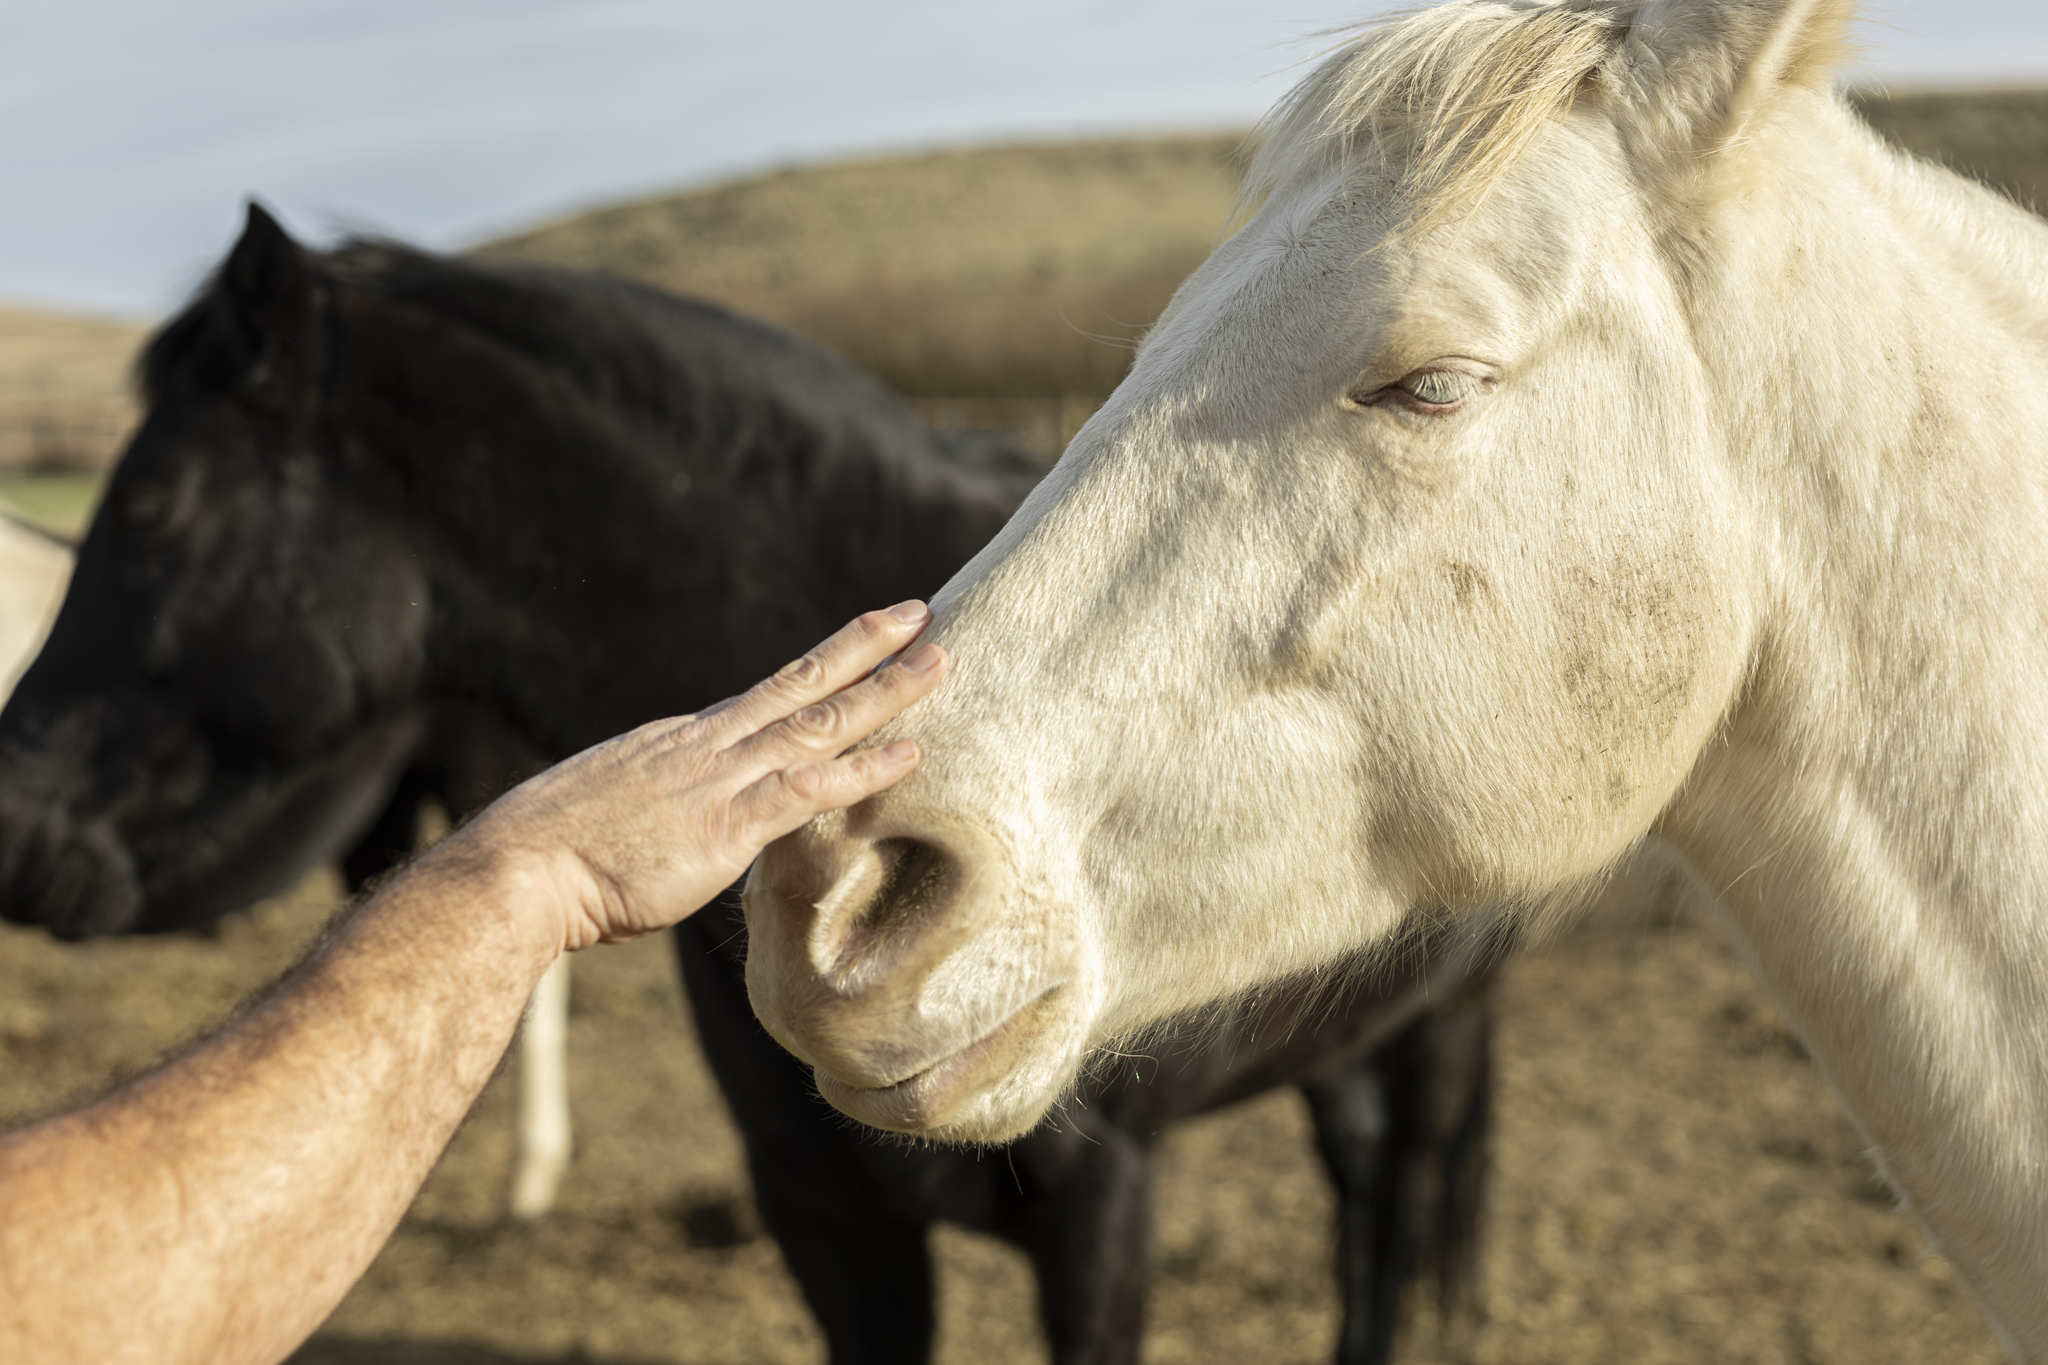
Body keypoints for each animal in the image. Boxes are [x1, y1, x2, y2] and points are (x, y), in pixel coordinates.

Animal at [0, 204, 1494, 1365]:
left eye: (153, 506)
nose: (16, 819)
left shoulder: (1099, 1210)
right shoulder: (826, 1219)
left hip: (1442, 1020)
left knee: (1402, 1192)